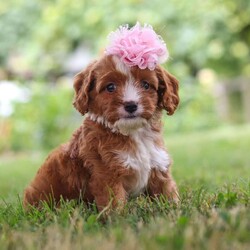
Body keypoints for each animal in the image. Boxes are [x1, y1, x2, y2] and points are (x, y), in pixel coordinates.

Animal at [23, 23, 180, 211]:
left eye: (146, 85)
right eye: (110, 87)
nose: (131, 105)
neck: (133, 133)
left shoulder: (158, 165)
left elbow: (167, 192)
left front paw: (175, 208)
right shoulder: (106, 173)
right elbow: (114, 203)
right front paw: (119, 218)